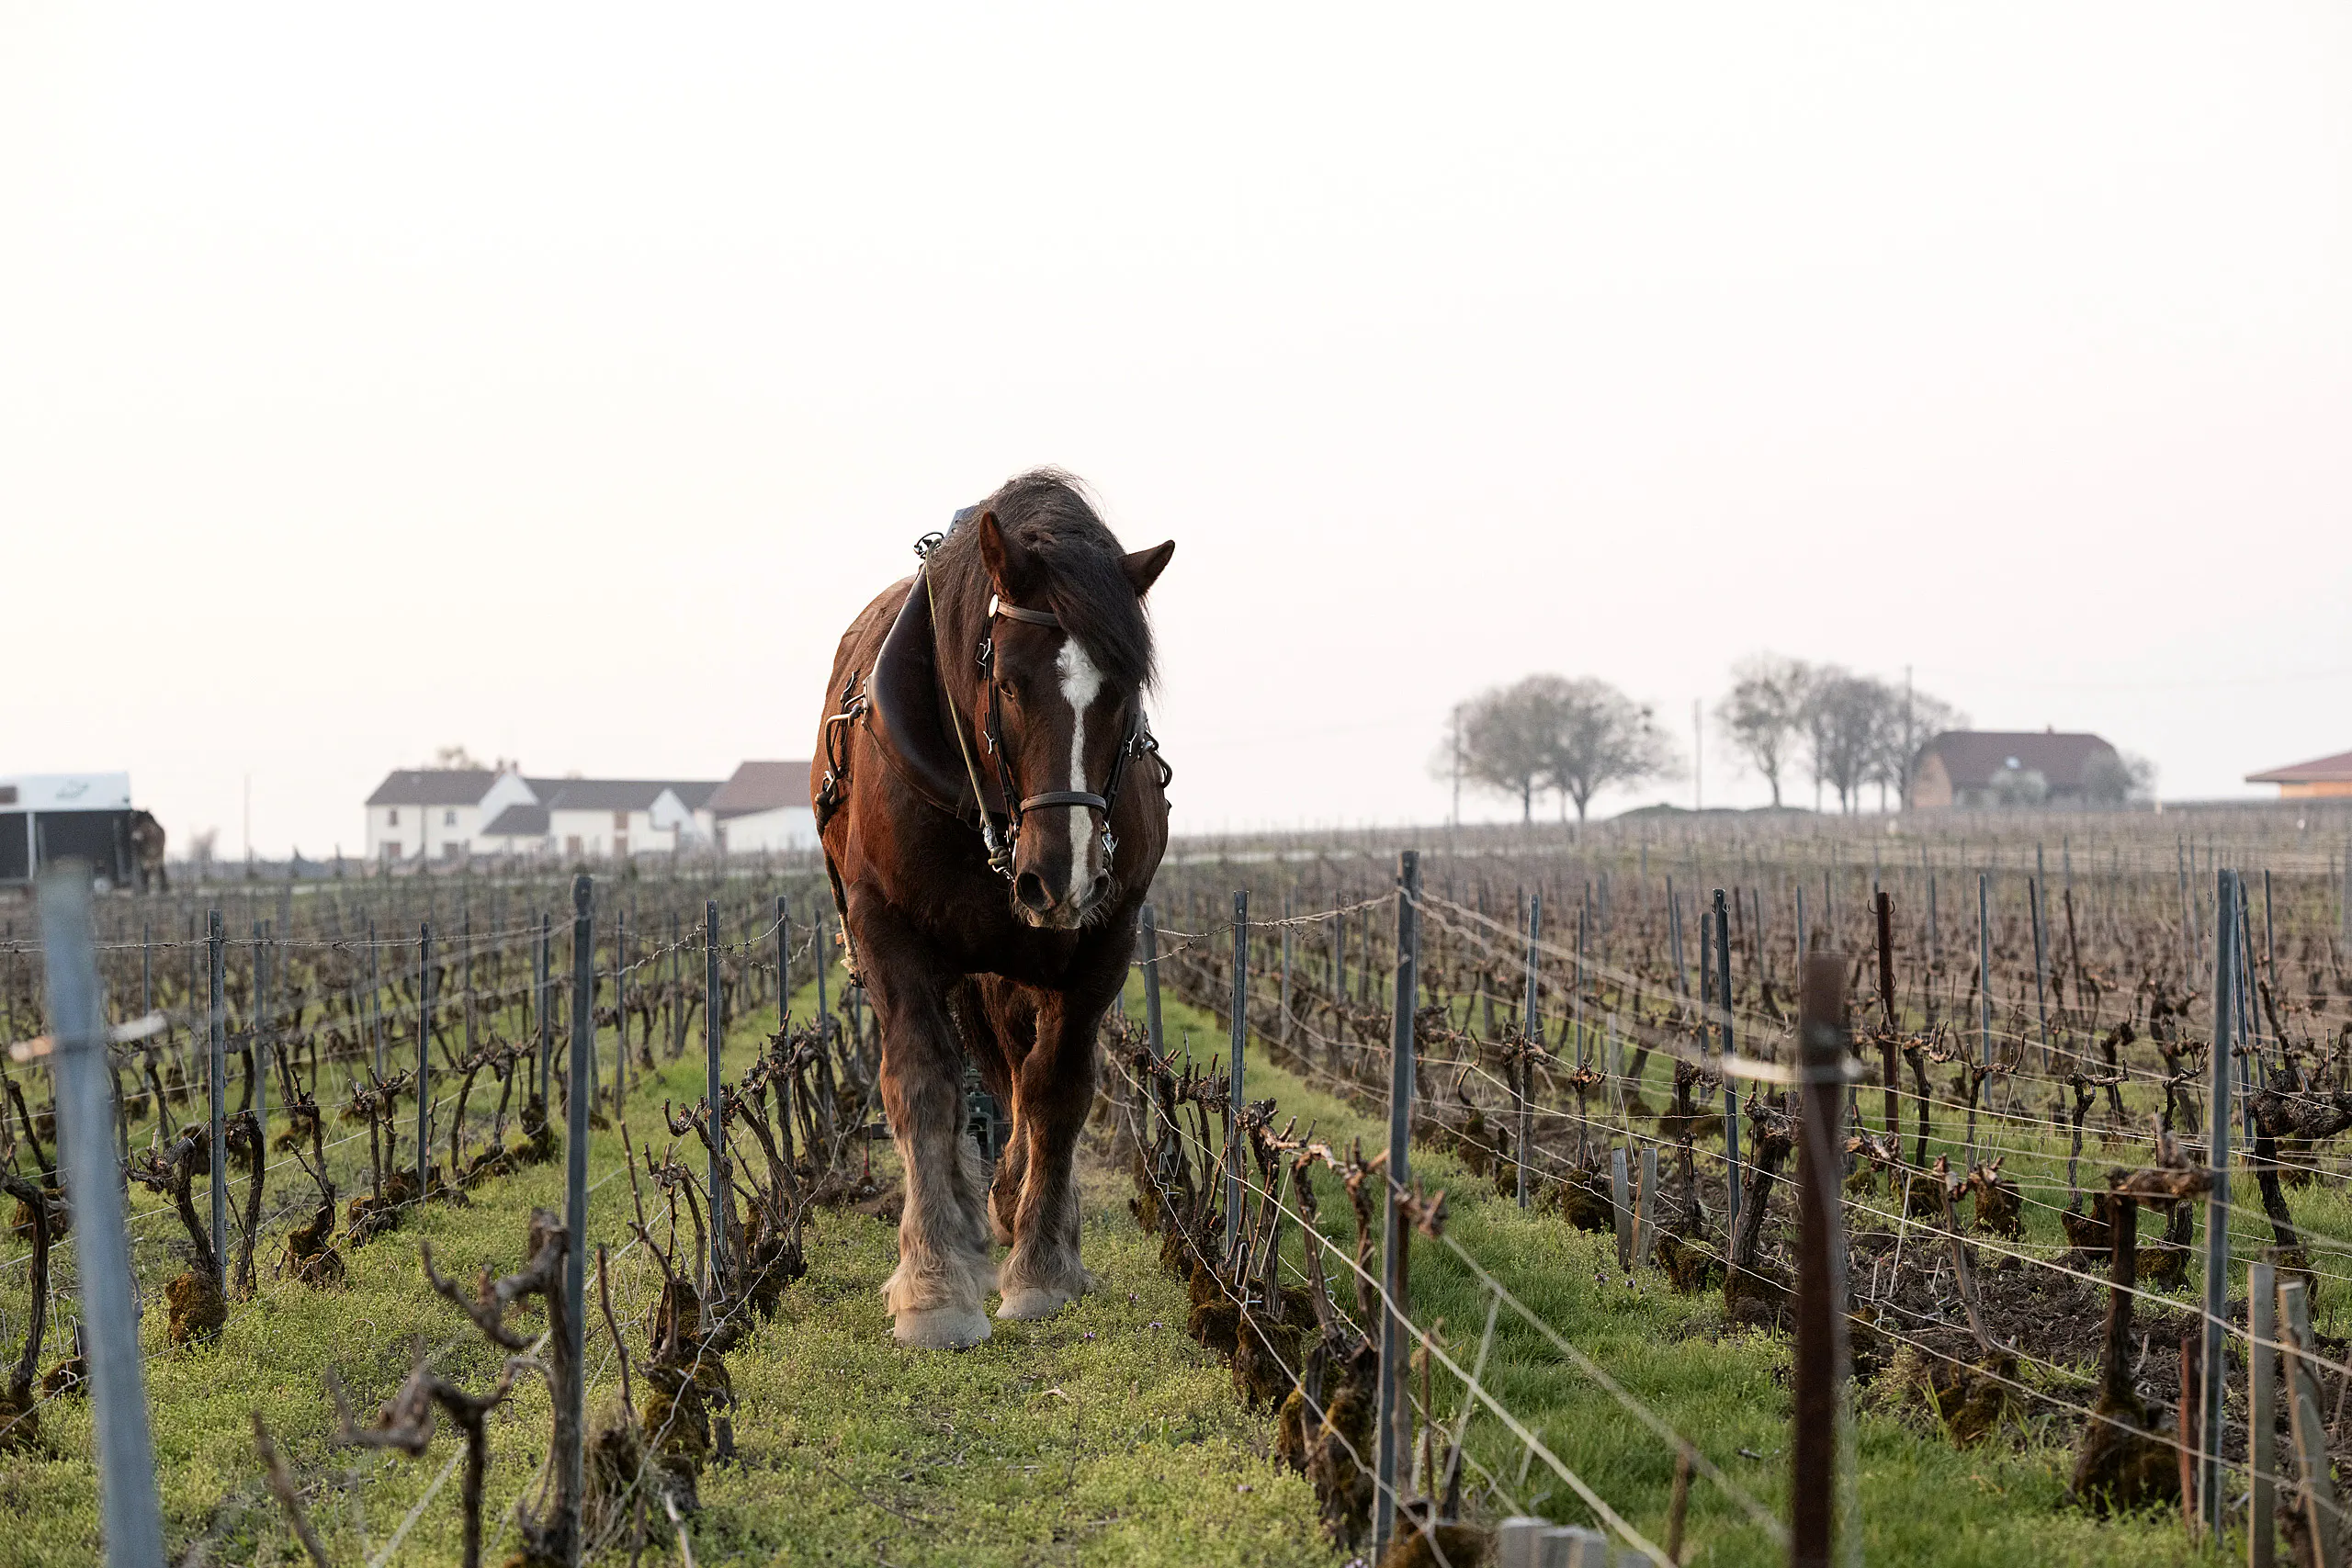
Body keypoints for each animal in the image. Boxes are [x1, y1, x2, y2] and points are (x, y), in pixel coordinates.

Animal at [810, 470, 1174, 1349]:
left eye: (1123, 691)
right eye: (1007, 681)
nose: (1063, 876)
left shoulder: (1102, 941)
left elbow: (1055, 1088)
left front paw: (1042, 1265)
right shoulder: (885, 927)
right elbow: (922, 1083)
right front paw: (935, 1285)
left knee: (1013, 1066)